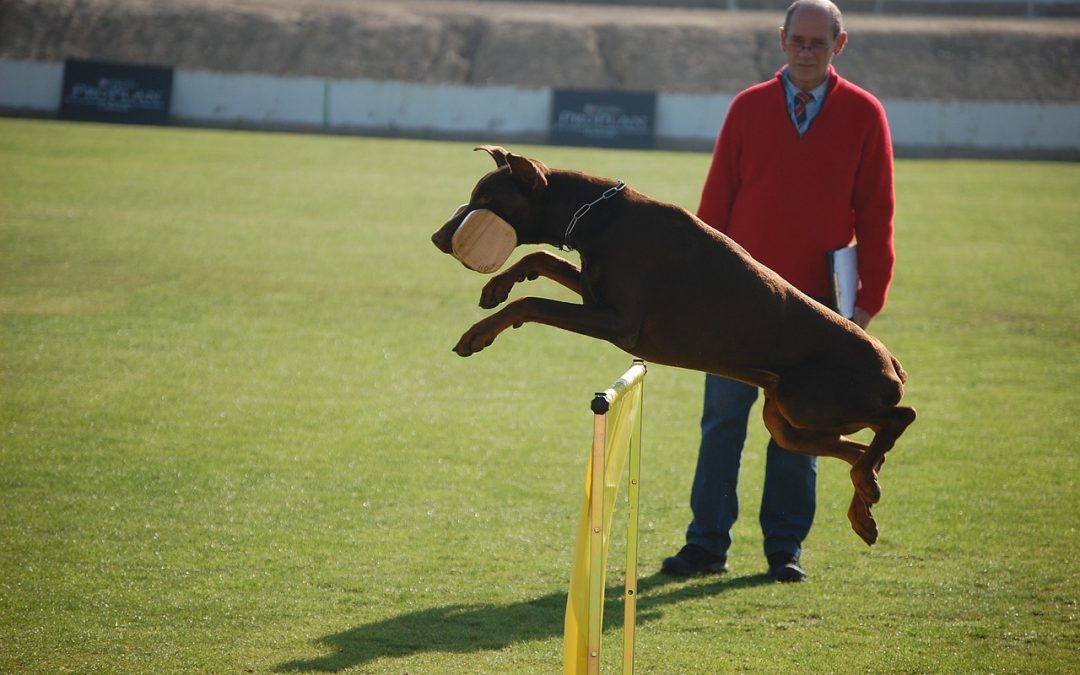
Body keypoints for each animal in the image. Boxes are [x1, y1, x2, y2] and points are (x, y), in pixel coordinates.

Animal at [429, 144, 911, 544]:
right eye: (474, 196)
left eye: (486, 201)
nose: (437, 238)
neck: (598, 217)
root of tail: (892, 364)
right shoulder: (594, 296)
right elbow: (540, 257)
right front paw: (497, 286)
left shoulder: (618, 322)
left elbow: (531, 302)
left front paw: (478, 333)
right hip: (788, 419)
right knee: (857, 450)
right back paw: (864, 501)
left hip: (810, 400)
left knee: (899, 417)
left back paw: (869, 483)